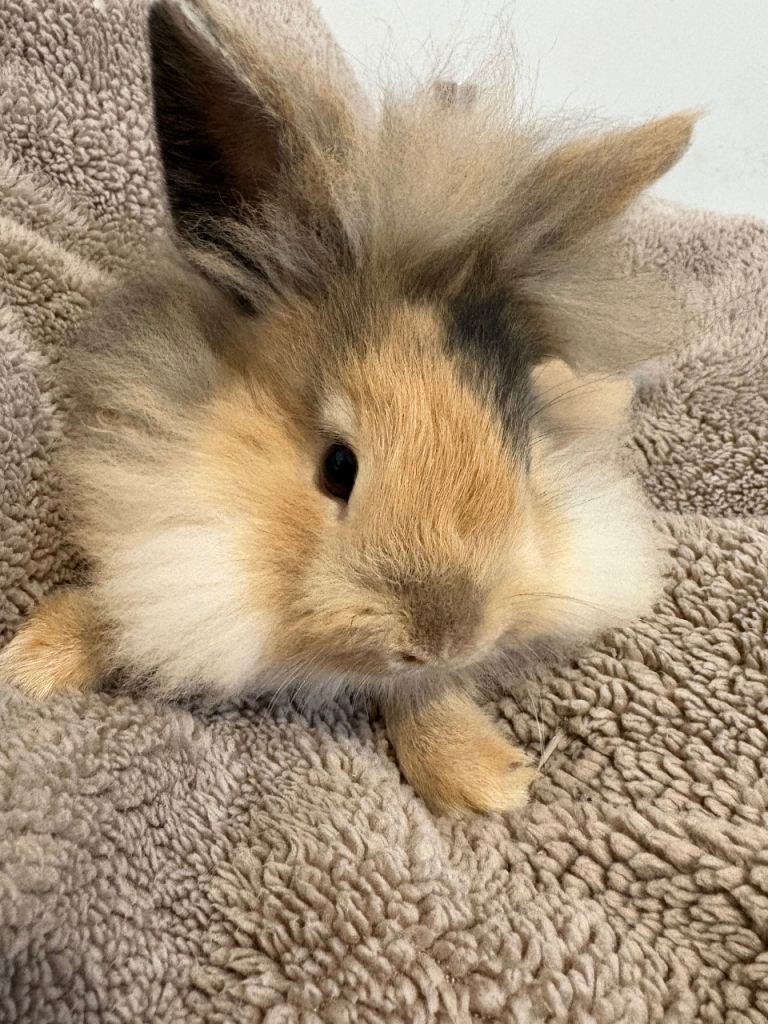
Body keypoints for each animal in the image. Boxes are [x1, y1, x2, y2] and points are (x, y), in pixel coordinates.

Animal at [0, 0, 695, 815]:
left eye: (522, 461)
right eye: (338, 467)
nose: (445, 636)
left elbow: (420, 694)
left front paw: (486, 782)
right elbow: (117, 605)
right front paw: (29, 665)